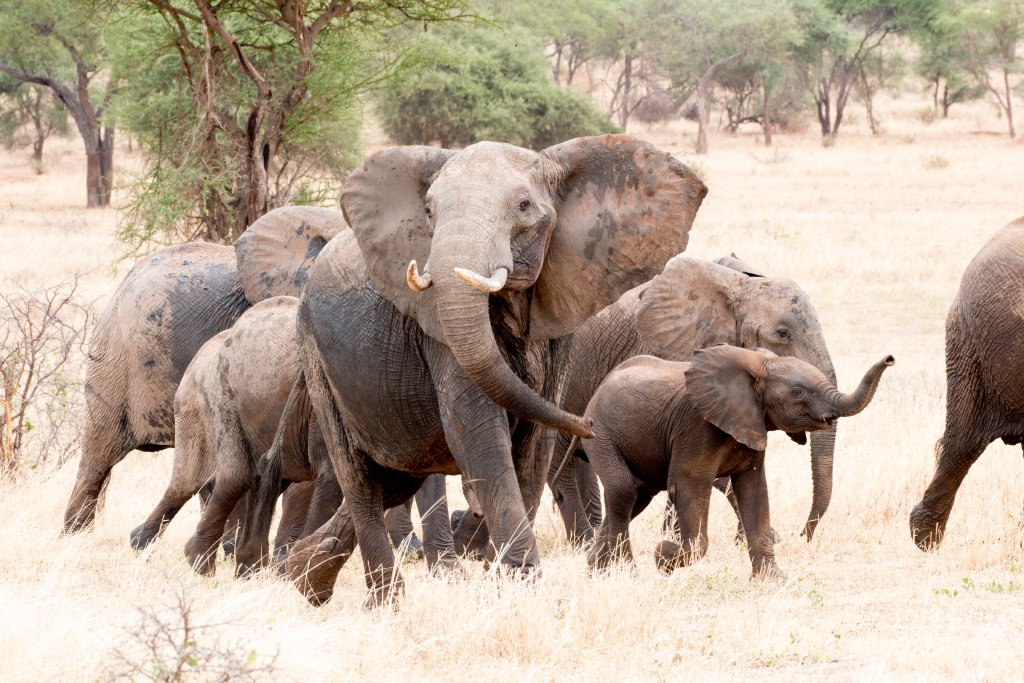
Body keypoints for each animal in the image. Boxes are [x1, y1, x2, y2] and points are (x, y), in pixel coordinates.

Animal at [283, 135, 707, 606]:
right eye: (428, 211)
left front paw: (502, 581)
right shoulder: (437, 331)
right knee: (359, 478)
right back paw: (383, 602)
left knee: (393, 476)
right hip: (315, 355)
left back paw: (303, 574)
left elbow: (535, 445)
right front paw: (522, 585)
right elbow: (479, 435)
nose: (590, 424)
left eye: (523, 206)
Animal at [547, 253, 840, 547]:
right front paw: (766, 538)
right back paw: (583, 540)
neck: (735, 287)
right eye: (782, 333)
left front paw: (675, 535)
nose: (803, 535)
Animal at [553, 347, 893, 576]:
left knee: (634, 498)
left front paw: (772, 581)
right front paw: (663, 556)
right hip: (602, 436)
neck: (757, 364)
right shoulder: (696, 427)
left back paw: (596, 574)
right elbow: (690, 487)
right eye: (798, 392)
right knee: (624, 490)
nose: (889, 358)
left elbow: (754, 490)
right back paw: (625, 573)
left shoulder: (751, 423)